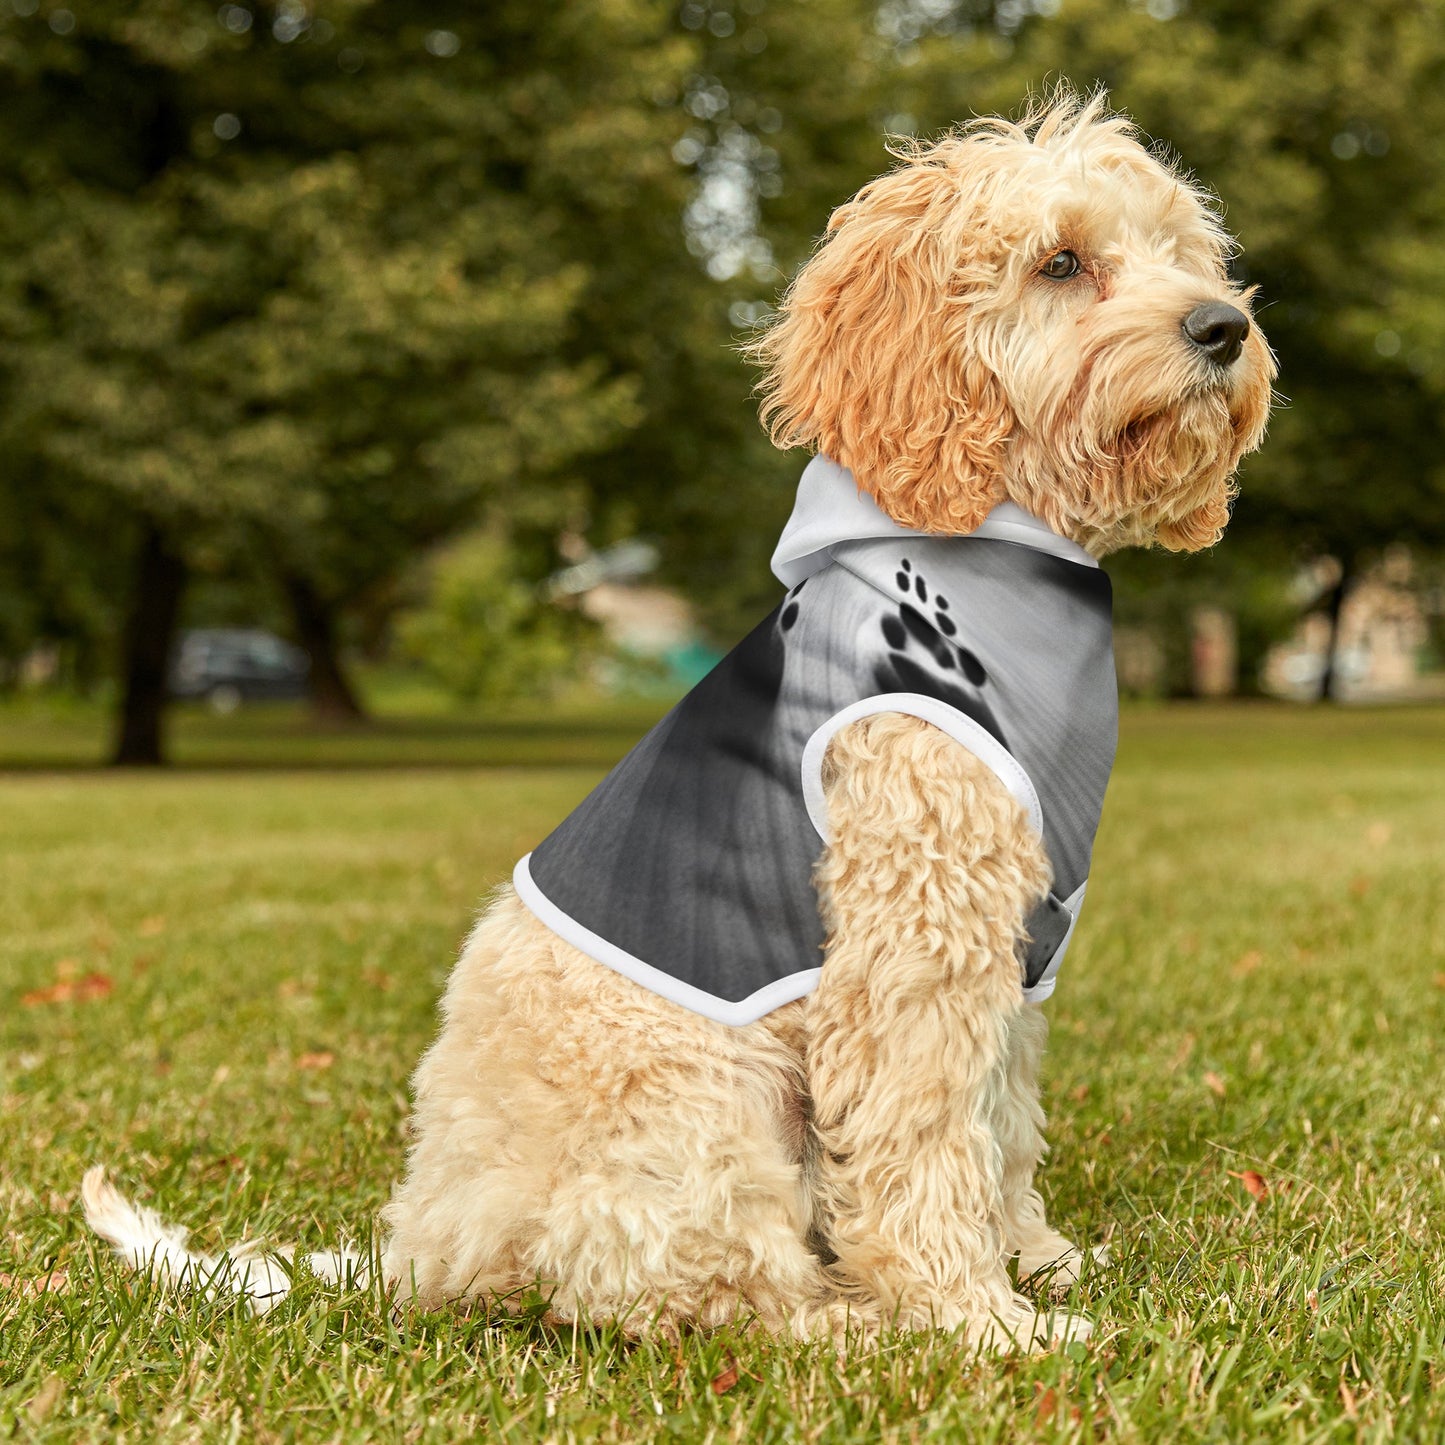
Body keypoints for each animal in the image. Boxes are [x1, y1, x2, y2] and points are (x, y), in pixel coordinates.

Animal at [84, 93, 1271, 1352]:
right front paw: (975, 1318)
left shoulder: (1012, 940)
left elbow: (998, 1121)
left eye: (1181, 252)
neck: (990, 543)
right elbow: (923, 1137)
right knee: (699, 1290)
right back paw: (851, 1322)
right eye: (1059, 262)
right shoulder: (912, 935)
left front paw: (1034, 1260)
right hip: (703, 1103)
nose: (1222, 327)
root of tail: (424, 1246)